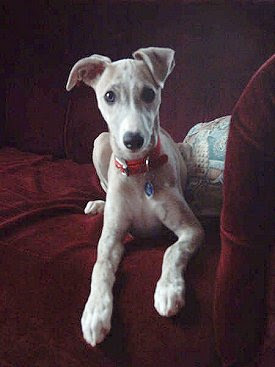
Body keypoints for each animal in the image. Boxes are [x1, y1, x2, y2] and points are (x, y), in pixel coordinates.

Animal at [66, 48, 205, 348]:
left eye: (149, 93)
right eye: (109, 95)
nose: (133, 140)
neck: (139, 170)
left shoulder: (192, 230)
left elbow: (172, 251)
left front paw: (168, 290)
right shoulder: (111, 239)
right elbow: (100, 267)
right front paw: (95, 312)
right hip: (99, 143)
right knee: (106, 188)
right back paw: (99, 204)